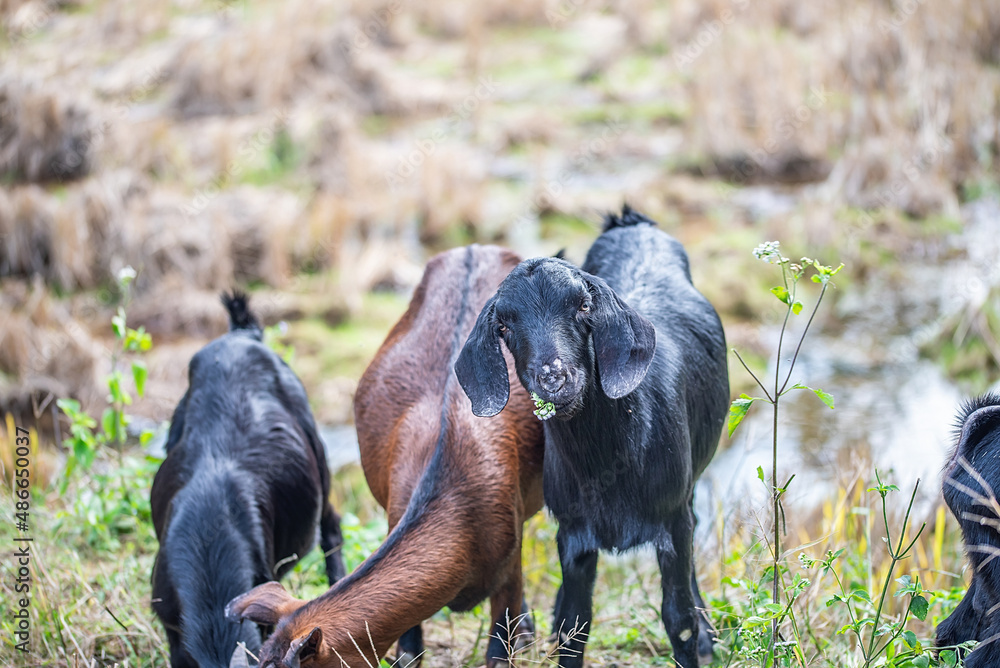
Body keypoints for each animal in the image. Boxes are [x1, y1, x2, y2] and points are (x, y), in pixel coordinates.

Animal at [456, 205, 728, 668]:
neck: (612, 458)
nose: (553, 378)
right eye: (504, 325)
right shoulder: (574, 534)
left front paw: (700, 639)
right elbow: (574, 625)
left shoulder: (672, 521)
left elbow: (678, 619)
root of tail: (630, 222)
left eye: (583, 306)